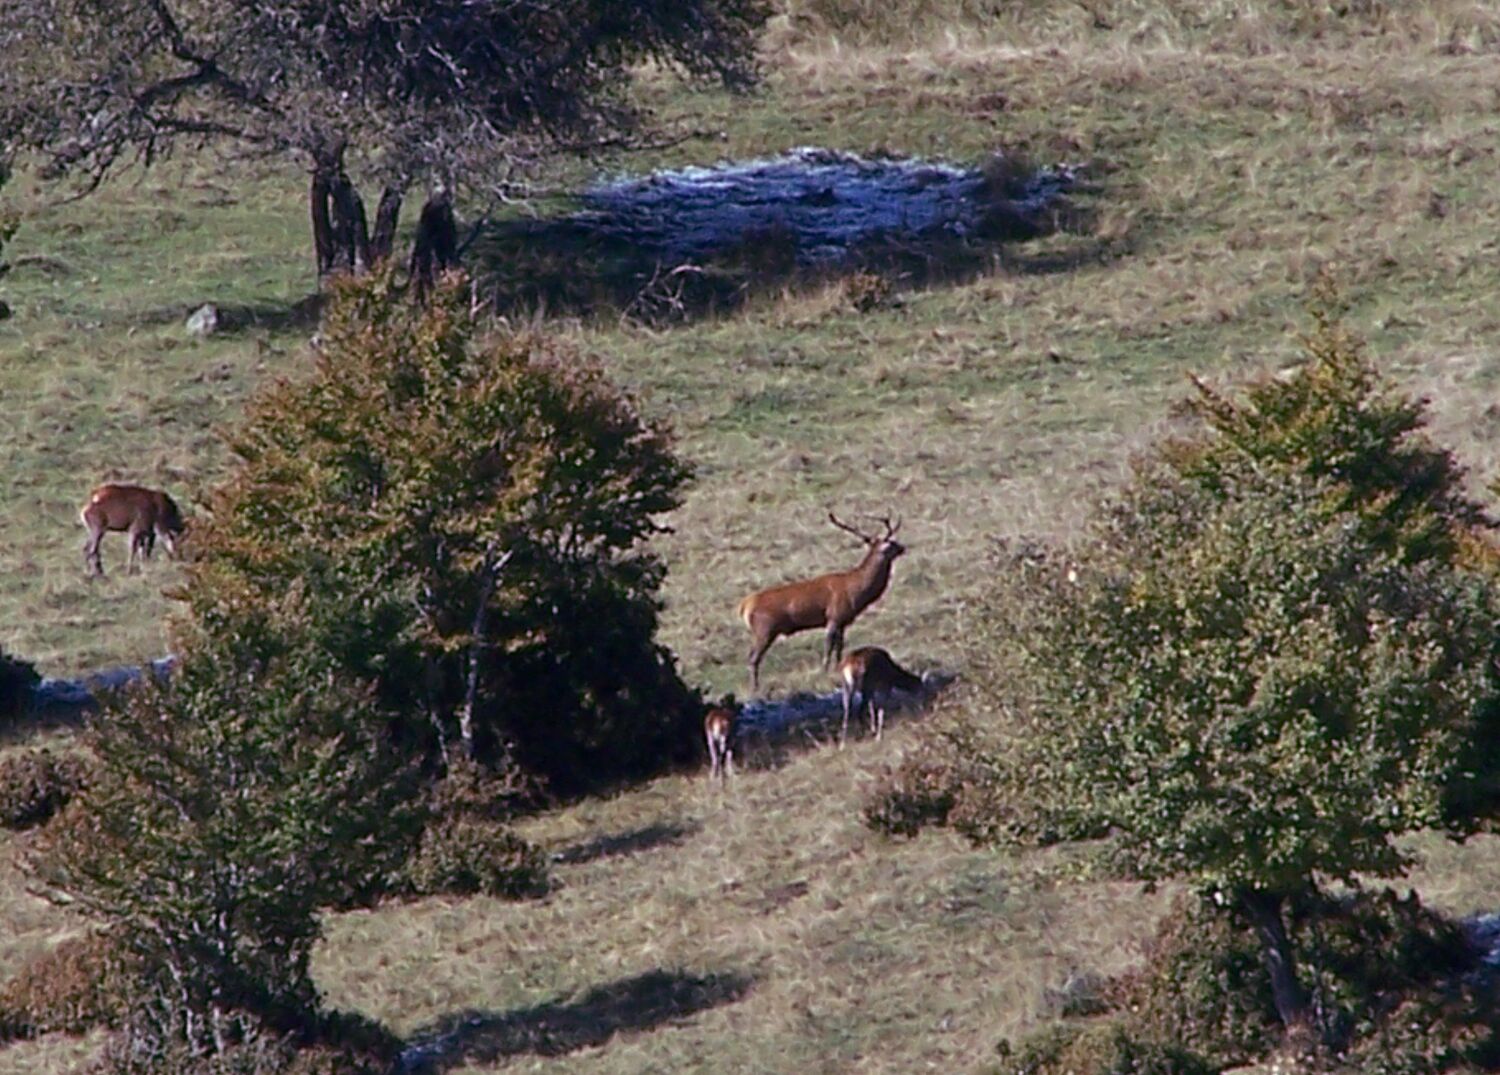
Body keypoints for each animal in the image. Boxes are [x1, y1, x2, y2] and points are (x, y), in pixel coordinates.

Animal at [737, 512, 905, 694]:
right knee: (753, 658)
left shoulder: (843, 622)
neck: (855, 592)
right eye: (890, 545)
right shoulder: (834, 616)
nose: (903, 547)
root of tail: (745, 606)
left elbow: (840, 647)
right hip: (765, 629)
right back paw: (755, 688)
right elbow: (828, 646)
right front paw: (824, 671)